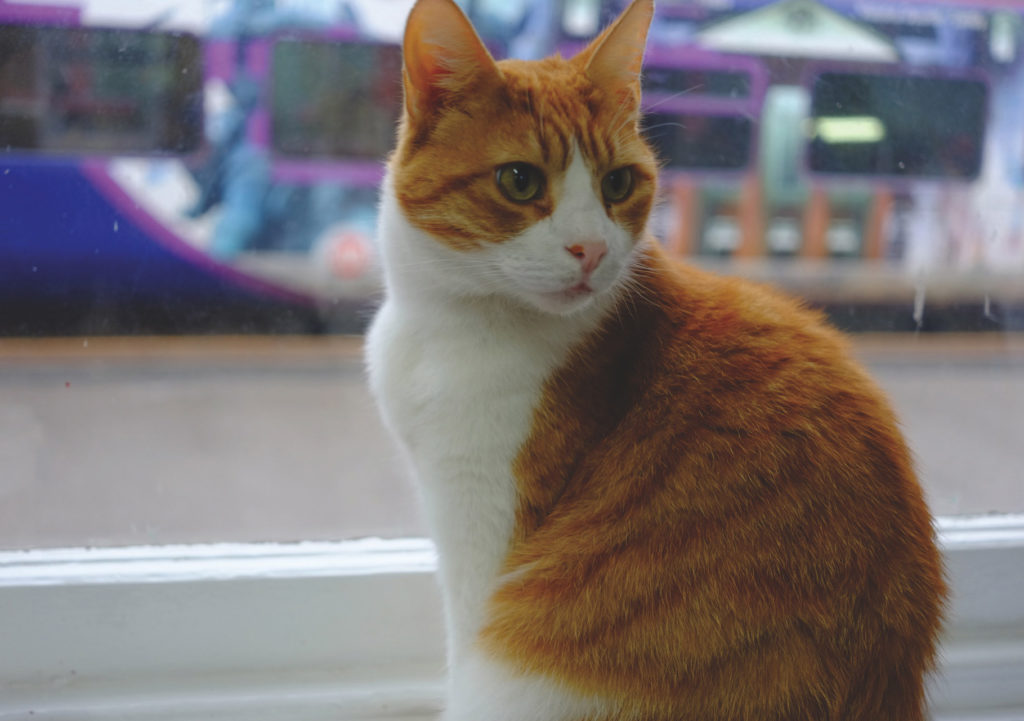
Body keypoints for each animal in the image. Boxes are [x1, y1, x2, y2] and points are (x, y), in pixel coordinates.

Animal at [366, 1, 942, 721]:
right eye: (519, 180)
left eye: (617, 184)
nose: (589, 249)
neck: (443, 321)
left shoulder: (482, 514)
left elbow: (462, 636)